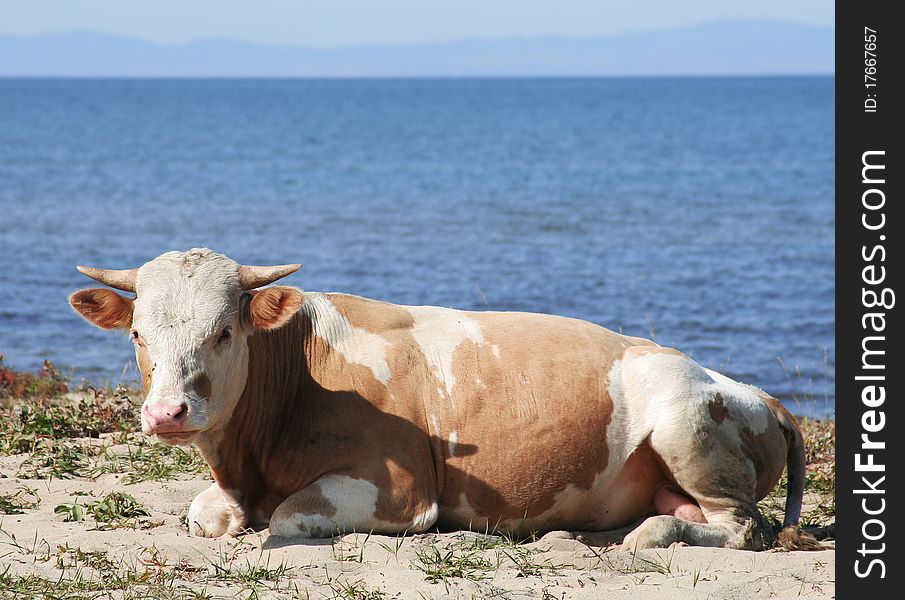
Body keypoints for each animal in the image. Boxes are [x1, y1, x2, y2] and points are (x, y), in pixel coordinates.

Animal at [69, 251, 820, 552]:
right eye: (136, 333)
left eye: (224, 332)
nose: (167, 413)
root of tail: (755, 392)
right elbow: (206, 516)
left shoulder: (398, 488)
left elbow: (285, 517)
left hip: (687, 423)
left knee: (742, 526)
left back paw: (651, 536)